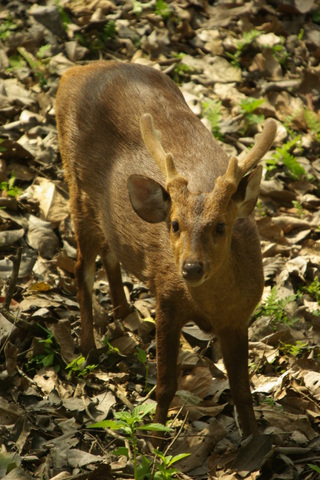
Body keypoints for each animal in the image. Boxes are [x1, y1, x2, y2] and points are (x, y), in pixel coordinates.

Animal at [56, 59, 276, 436]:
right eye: (174, 224)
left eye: (221, 226)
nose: (191, 268)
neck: (210, 308)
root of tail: (73, 73)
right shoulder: (168, 301)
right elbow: (165, 385)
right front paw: (156, 439)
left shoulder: (239, 317)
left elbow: (242, 391)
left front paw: (254, 439)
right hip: (77, 190)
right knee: (82, 269)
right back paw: (88, 348)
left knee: (111, 250)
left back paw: (124, 313)